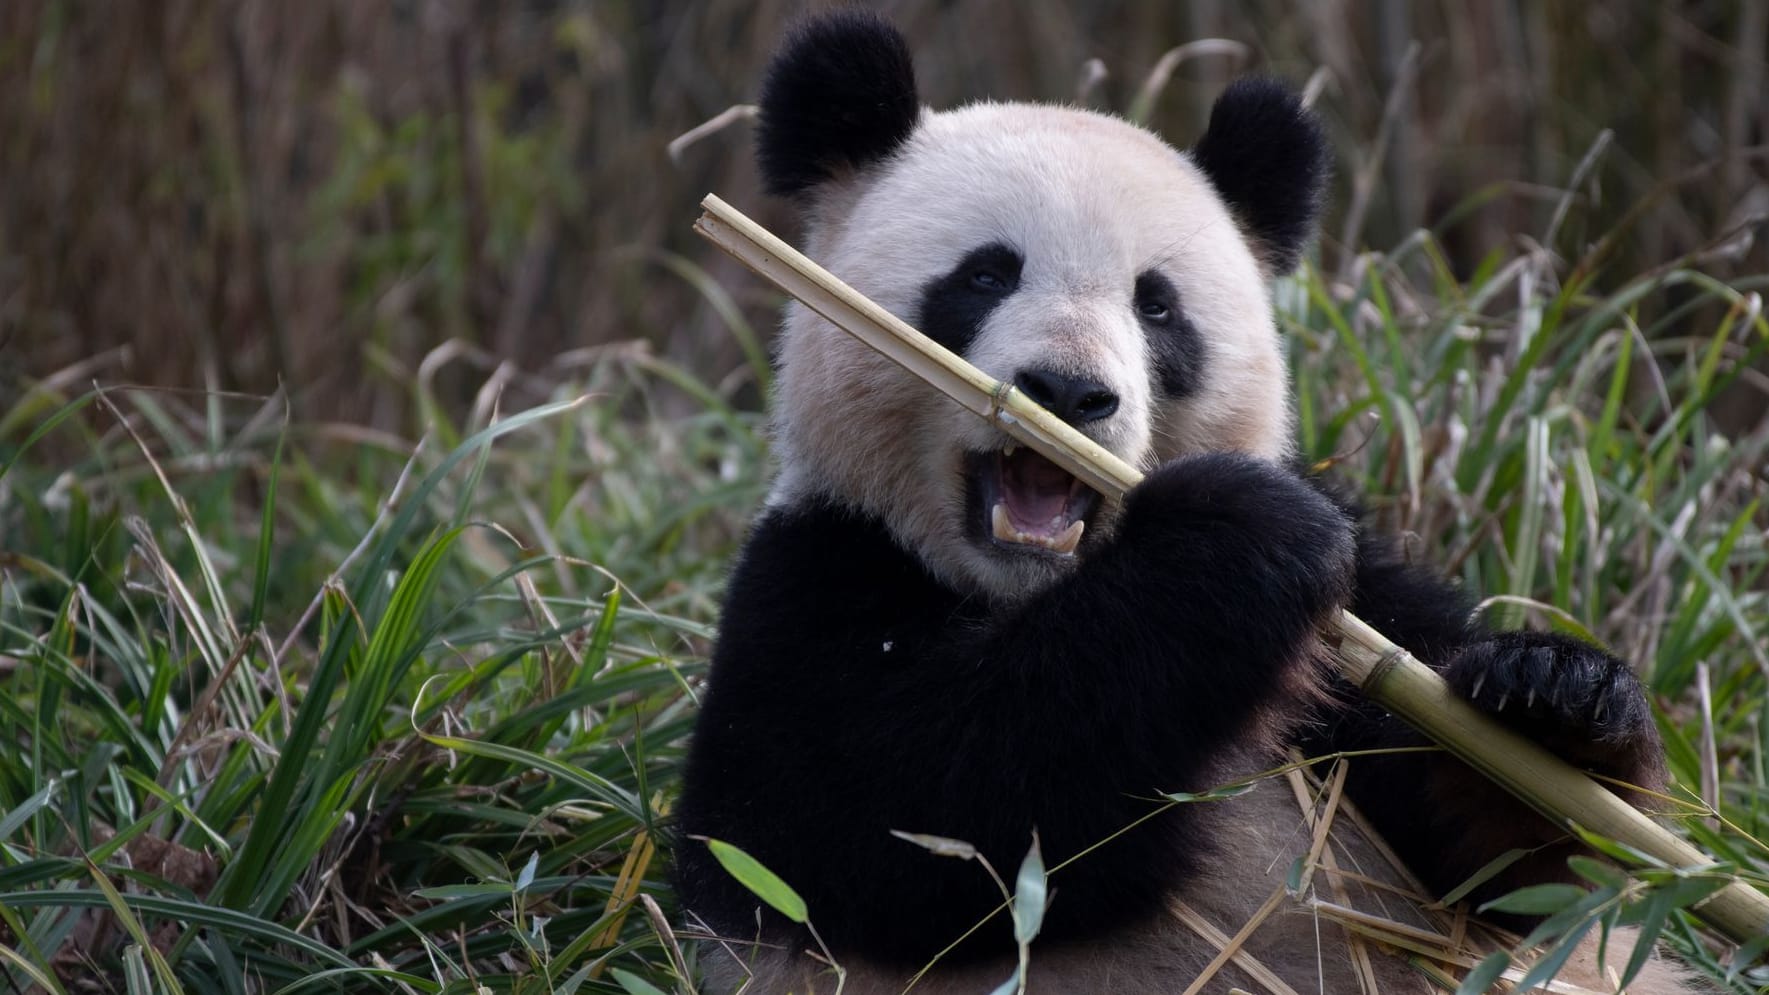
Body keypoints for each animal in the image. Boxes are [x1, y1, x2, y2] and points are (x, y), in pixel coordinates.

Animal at [668, 9, 1691, 991]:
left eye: (1155, 305)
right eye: (985, 274)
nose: (1068, 391)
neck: (1030, 590)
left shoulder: (1367, 615)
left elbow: (1513, 877)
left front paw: (1552, 699)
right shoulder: (817, 573)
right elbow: (883, 826)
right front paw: (1234, 537)